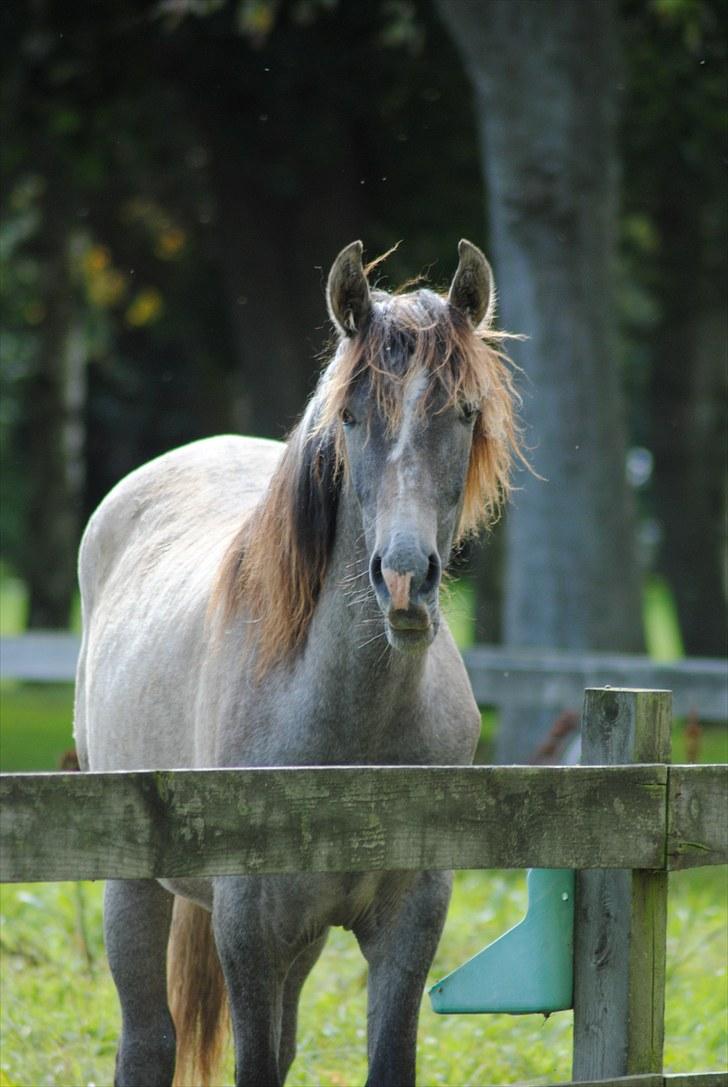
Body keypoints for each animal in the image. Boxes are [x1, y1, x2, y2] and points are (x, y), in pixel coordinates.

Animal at [72, 240, 519, 1087]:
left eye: (465, 411)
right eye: (351, 416)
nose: (404, 579)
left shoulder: (411, 917)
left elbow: (378, 1060)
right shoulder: (248, 927)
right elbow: (249, 1061)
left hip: (303, 939)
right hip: (134, 887)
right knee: (147, 1041)